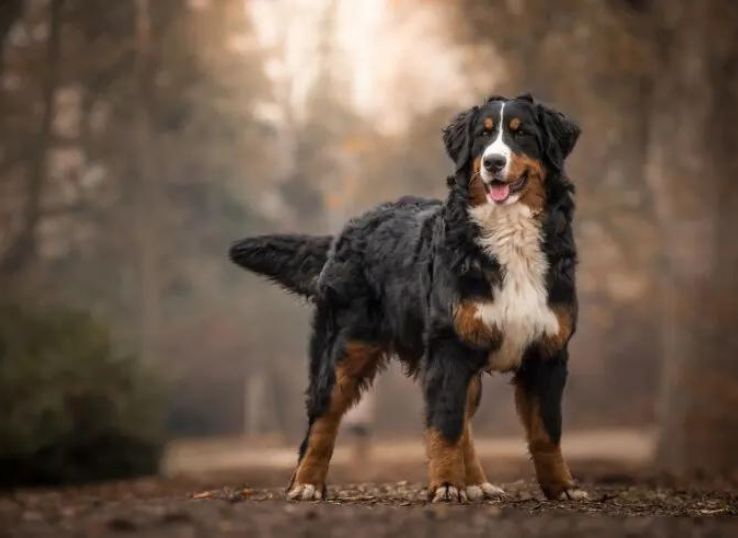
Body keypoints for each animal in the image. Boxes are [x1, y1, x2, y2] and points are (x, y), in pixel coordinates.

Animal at [230, 93, 588, 502]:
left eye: (521, 133)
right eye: (482, 137)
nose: (493, 162)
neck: (508, 235)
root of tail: (349, 229)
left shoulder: (547, 351)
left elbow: (547, 433)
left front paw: (562, 487)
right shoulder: (449, 349)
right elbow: (444, 427)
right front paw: (446, 485)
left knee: (463, 422)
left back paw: (476, 482)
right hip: (344, 348)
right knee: (323, 418)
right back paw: (306, 483)